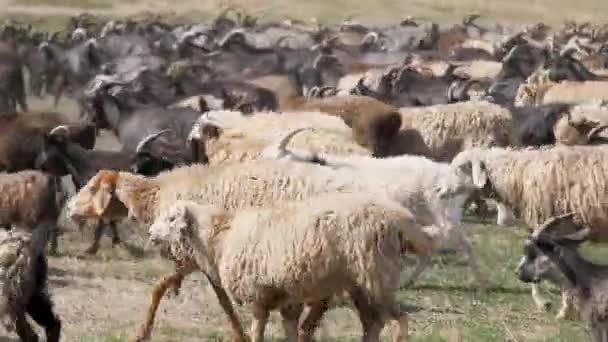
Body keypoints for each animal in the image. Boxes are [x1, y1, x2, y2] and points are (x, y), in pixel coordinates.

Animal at [146, 195, 432, 342]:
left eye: (171, 218)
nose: (149, 233)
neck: (221, 237)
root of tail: (401, 221)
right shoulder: (288, 301)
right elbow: (292, 333)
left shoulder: (257, 296)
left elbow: (257, 332)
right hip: (361, 285)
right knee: (372, 323)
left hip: (377, 278)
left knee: (397, 322)